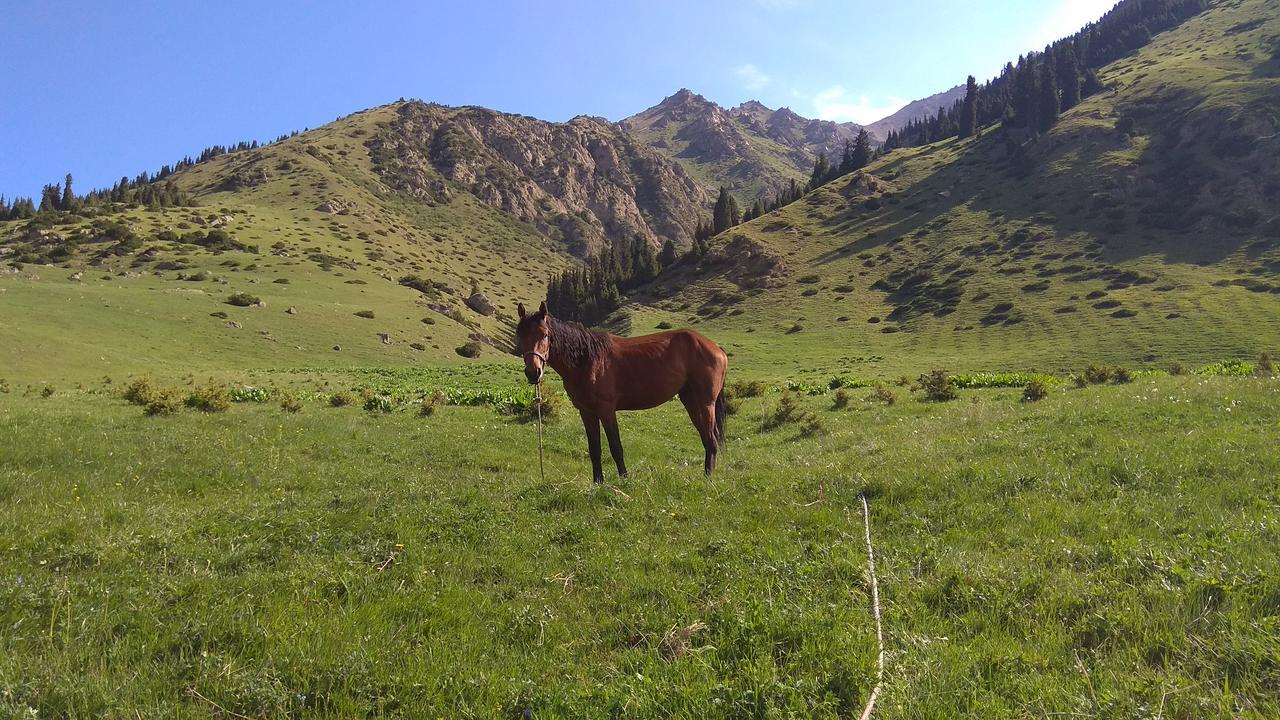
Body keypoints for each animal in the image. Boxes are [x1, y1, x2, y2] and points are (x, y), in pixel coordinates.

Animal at [514, 299, 727, 479]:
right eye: (520, 336)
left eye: (545, 335)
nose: (533, 372)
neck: (587, 360)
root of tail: (716, 347)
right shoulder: (586, 412)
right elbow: (595, 450)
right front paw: (598, 483)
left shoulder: (606, 410)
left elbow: (616, 447)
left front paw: (624, 479)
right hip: (690, 401)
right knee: (707, 437)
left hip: (706, 403)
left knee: (711, 439)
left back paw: (708, 479)